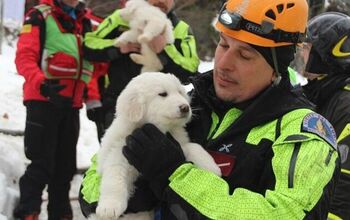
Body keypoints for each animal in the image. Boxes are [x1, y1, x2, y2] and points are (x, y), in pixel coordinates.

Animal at [94, 72, 220, 220]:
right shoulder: (119, 152)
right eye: (163, 94)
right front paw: (109, 207)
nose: (185, 107)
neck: (161, 129)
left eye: (179, 92)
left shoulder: (175, 144)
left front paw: (212, 167)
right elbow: (114, 177)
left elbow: (193, 147)